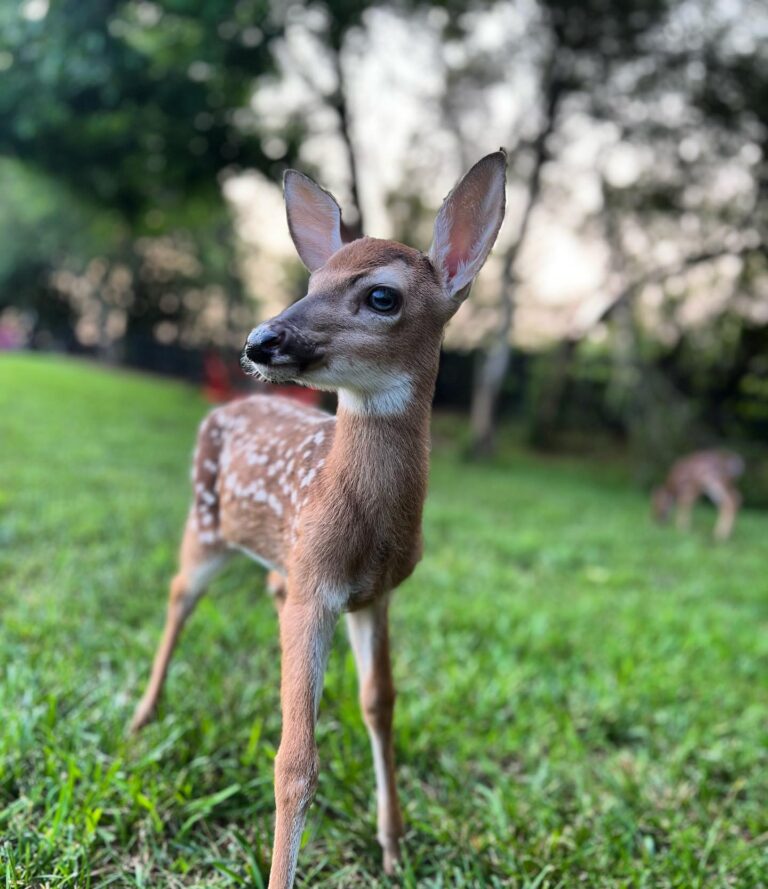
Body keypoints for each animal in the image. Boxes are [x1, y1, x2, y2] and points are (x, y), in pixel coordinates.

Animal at [130, 151, 507, 888]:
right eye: (312, 282)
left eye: (382, 296)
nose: (260, 339)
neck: (363, 523)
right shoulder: (316, 588)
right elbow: (294, 763)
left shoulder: (373, 594)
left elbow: (380, 705)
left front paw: (393, 845)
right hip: (206, 525)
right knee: (178, 596)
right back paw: (141, 715)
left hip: (279, 560)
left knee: (257, 592)